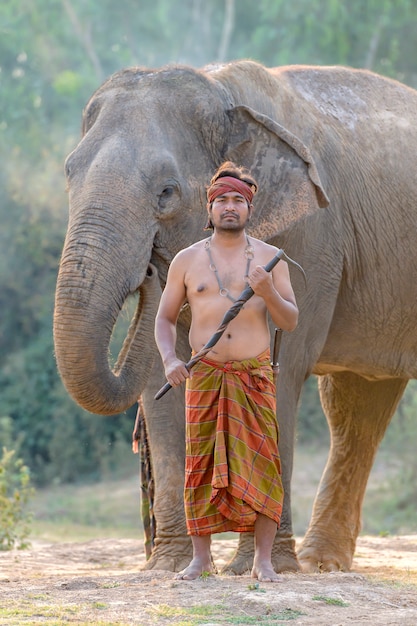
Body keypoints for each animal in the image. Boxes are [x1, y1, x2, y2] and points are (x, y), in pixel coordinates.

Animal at [53, 58, 416, 572]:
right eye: (69, 173)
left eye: (167, 191)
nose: (150, 269)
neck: (221, 90)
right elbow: (162, 373)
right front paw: (167, 567)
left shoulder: (312, 238)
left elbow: (281, 368)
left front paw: (258, 567)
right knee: (359, 405)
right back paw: (323, 564)